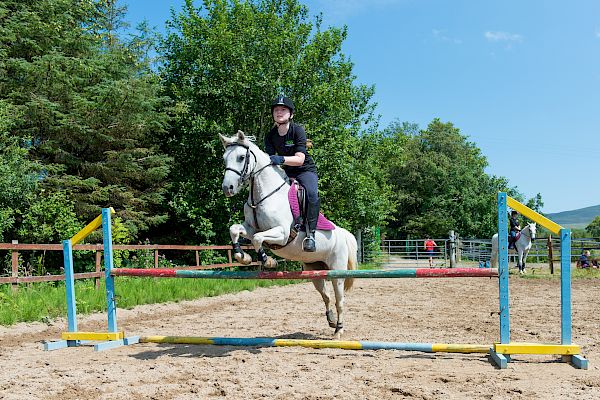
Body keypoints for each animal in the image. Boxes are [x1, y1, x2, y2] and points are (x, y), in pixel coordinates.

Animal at [221, 130, 358, 340]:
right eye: (224, 158)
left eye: (241, 157)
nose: (227, 188)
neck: (262, 196)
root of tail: (343, 234)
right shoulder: (250, 227)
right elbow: (235, 229)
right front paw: (242, 257)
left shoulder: (283, 233)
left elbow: (257, 239)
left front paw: (268, 261)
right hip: (314, 271)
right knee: (326, 296)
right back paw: (331, 320)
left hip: (337, 271)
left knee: (339, 300)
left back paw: (338, 331)